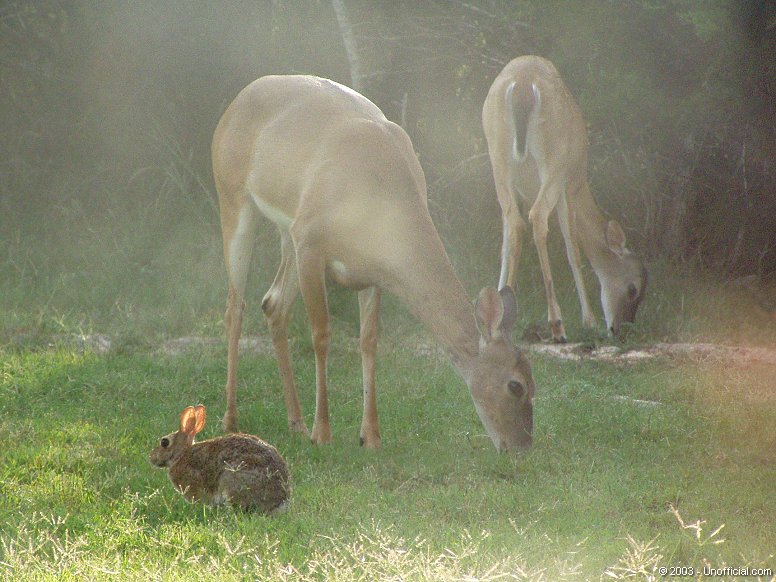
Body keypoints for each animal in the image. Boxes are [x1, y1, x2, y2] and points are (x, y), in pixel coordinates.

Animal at [215, 75, 536, 454]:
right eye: (515, 385)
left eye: (534, 382)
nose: (522, 446)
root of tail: (238, 99)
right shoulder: (310, 239)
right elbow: (321, 334)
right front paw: (323, 432)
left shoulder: (370, 272)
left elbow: (369, 341)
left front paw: (370, 435)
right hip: (234, 198)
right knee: (235, 308)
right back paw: (231, 419)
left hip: (286, 233)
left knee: (273, 303)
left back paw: (295, 423)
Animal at [482, 56, 644, 342]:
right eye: (633, 288)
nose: (620, 329)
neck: (583, 186)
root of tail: (522, 83)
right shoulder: (569, 185)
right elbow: (573, 249)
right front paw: (589, 320)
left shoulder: (516, 192)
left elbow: (505, 244)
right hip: (554, 161)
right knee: (537, 217)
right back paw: (557, 324)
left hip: (498, 159)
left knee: (517, 224)